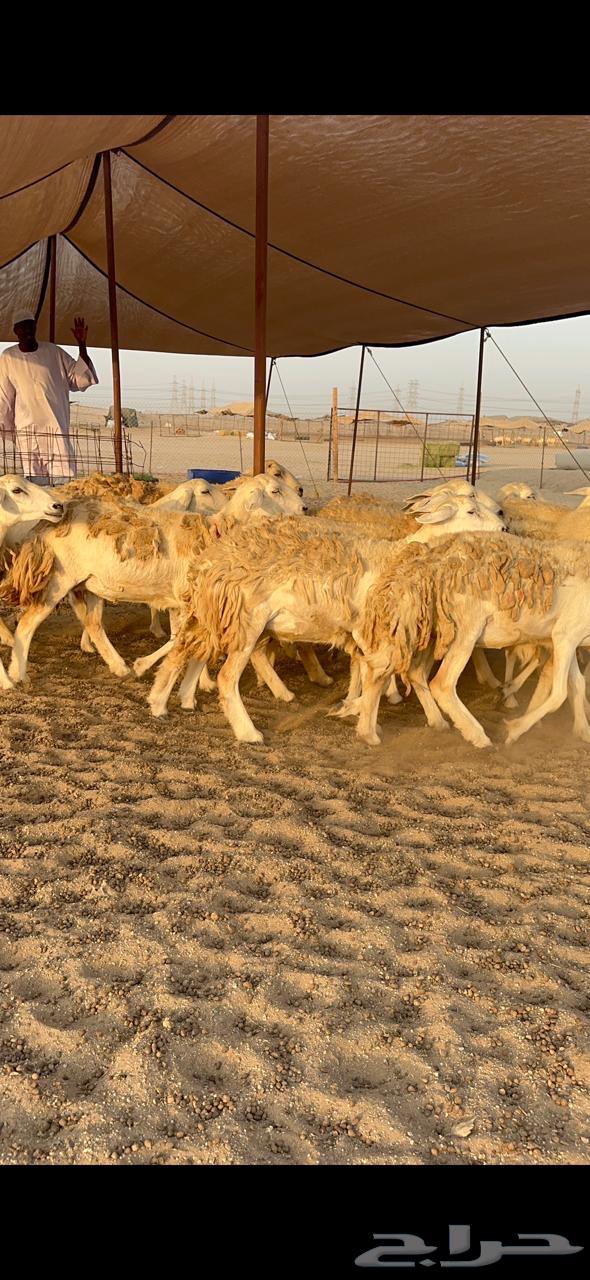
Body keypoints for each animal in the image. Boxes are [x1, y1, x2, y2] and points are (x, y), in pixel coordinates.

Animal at [0, 475, 308, 691]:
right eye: (275, 490)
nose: (305, 508)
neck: (217, 534)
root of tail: (51, 518)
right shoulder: (187, 599)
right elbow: (179, 641)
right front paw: (145, 666)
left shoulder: (180, 602)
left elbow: (180, 640)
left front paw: (200, 681)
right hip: (60, 579)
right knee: (27, 624)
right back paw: (17, 673)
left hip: (91, 583)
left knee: (94, 624)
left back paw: (118, 666)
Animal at [146, 493, 505, 742]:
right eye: (471, 510)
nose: (504, 528)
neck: (393, 557)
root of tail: (209, 563)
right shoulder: (366, 629)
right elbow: (374, 671)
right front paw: (365, 711)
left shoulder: (355, 631)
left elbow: (361, 669)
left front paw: (351, 705)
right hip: (247, 620)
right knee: (225, 677)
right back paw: (249, 733)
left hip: (215, 615)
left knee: (185, 649)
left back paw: (165, 702)